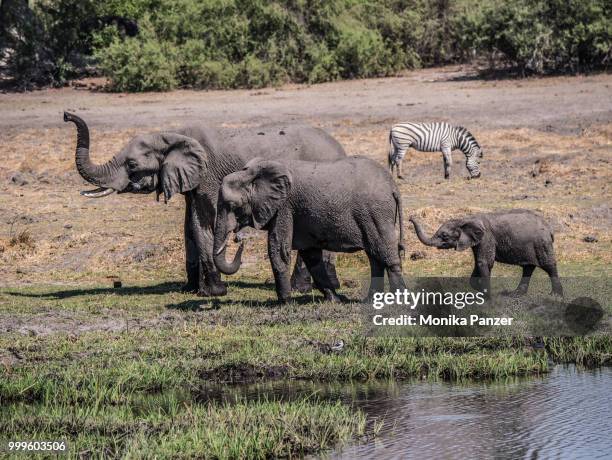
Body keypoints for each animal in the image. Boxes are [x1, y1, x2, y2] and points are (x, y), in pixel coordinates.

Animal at [65, 113, 350, 296]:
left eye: (132, 165)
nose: (67, 115)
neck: (171, 136)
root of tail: (339, 147)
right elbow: (188, 227)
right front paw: (190, 290)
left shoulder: (208, 178)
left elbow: (202, 224)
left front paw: (213, 292)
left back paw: (307, 287)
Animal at [214, 156, 406, 304]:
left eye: (233, 205)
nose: (239, 241)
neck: (252, 174)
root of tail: (393, 186)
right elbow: (311, 256)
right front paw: (335, 301)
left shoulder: (283, 207)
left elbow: (279, 249)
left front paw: (285, 302)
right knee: (375, 257)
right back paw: (370, 302)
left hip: (377, 214)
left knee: (387, 256)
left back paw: (399, 302)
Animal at [408, 209, 560, 296]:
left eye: (444, 236)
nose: (410, 218)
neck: (466, 219)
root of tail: (549, 229)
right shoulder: (477, 241)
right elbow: (478, 263)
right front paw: (481, 292)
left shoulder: (487, 238)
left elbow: (484, 263)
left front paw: (487, 298)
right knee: (528, 267)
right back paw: (516, 294)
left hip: (541, 243)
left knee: (549, 266)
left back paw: (555, 296)